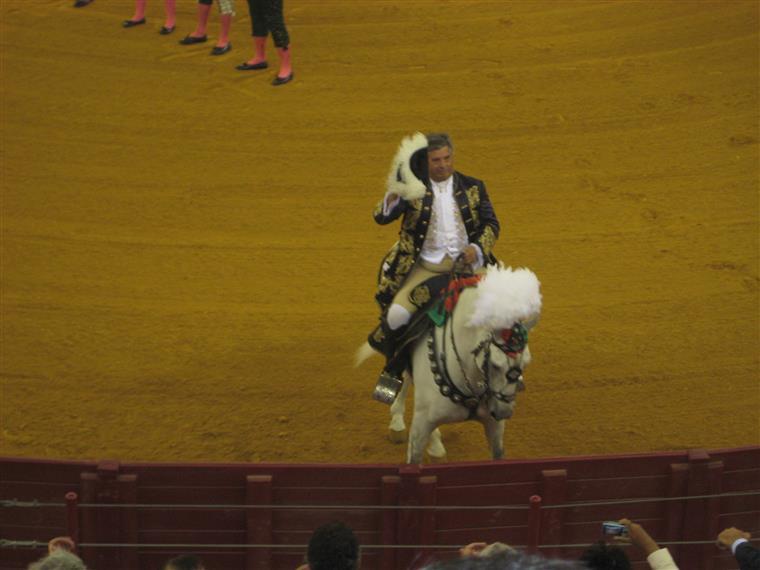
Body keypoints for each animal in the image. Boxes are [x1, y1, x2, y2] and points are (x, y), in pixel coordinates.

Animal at [356, 266, 540, 462]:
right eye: (495, 364)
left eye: (526, 363)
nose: (503, 412)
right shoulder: (420, 428)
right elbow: (414, 458)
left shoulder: (494, 426)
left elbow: (498, 454)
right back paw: (399, 422)